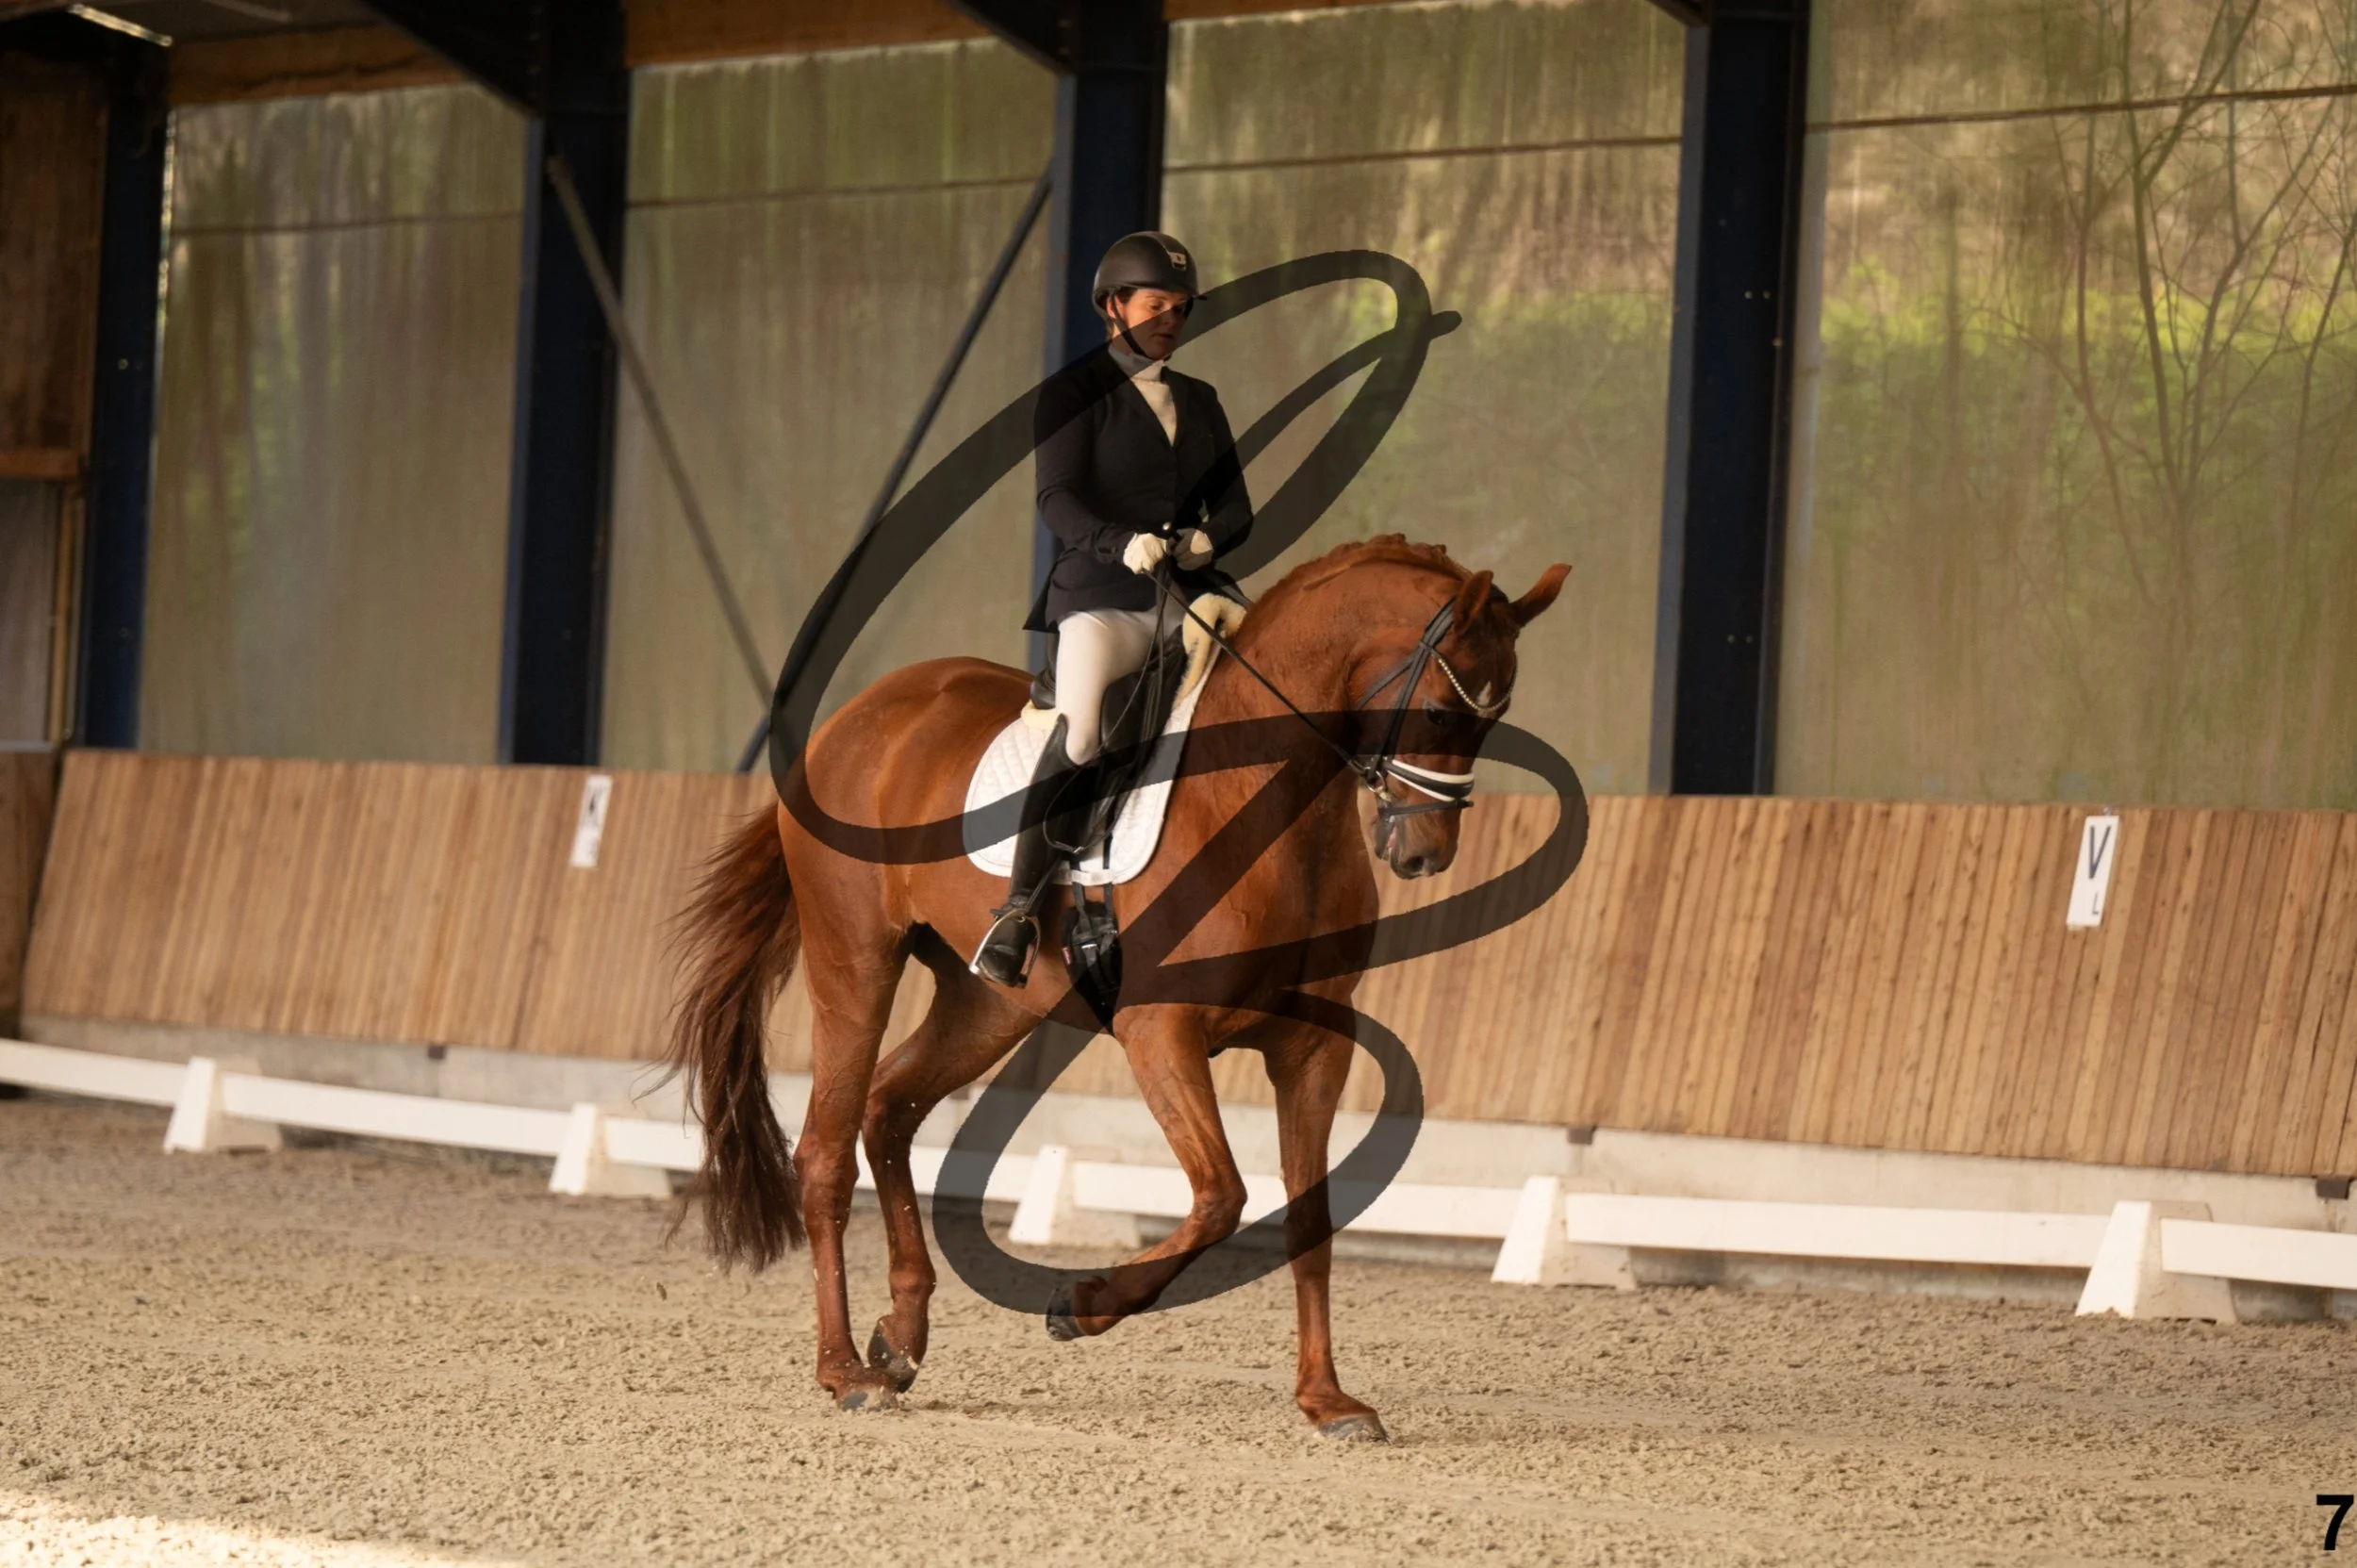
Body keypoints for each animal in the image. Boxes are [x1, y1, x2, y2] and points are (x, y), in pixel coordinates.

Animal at [664, 534, 1569, 1438]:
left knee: (890, 1106)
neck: (1266, 806)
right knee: (825, 1146)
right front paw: (1082, 1303)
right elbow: (1221, 1195)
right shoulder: (1161, 1031)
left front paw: (1328, 1399)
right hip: (855, 960)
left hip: (988, 1002)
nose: (1423, 854)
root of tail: (850, 721)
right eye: (1444, 712)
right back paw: (846, 1369)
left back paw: (901, 1335)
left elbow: (1308, 1218)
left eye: (1493, 718)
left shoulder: (1313, 1045)